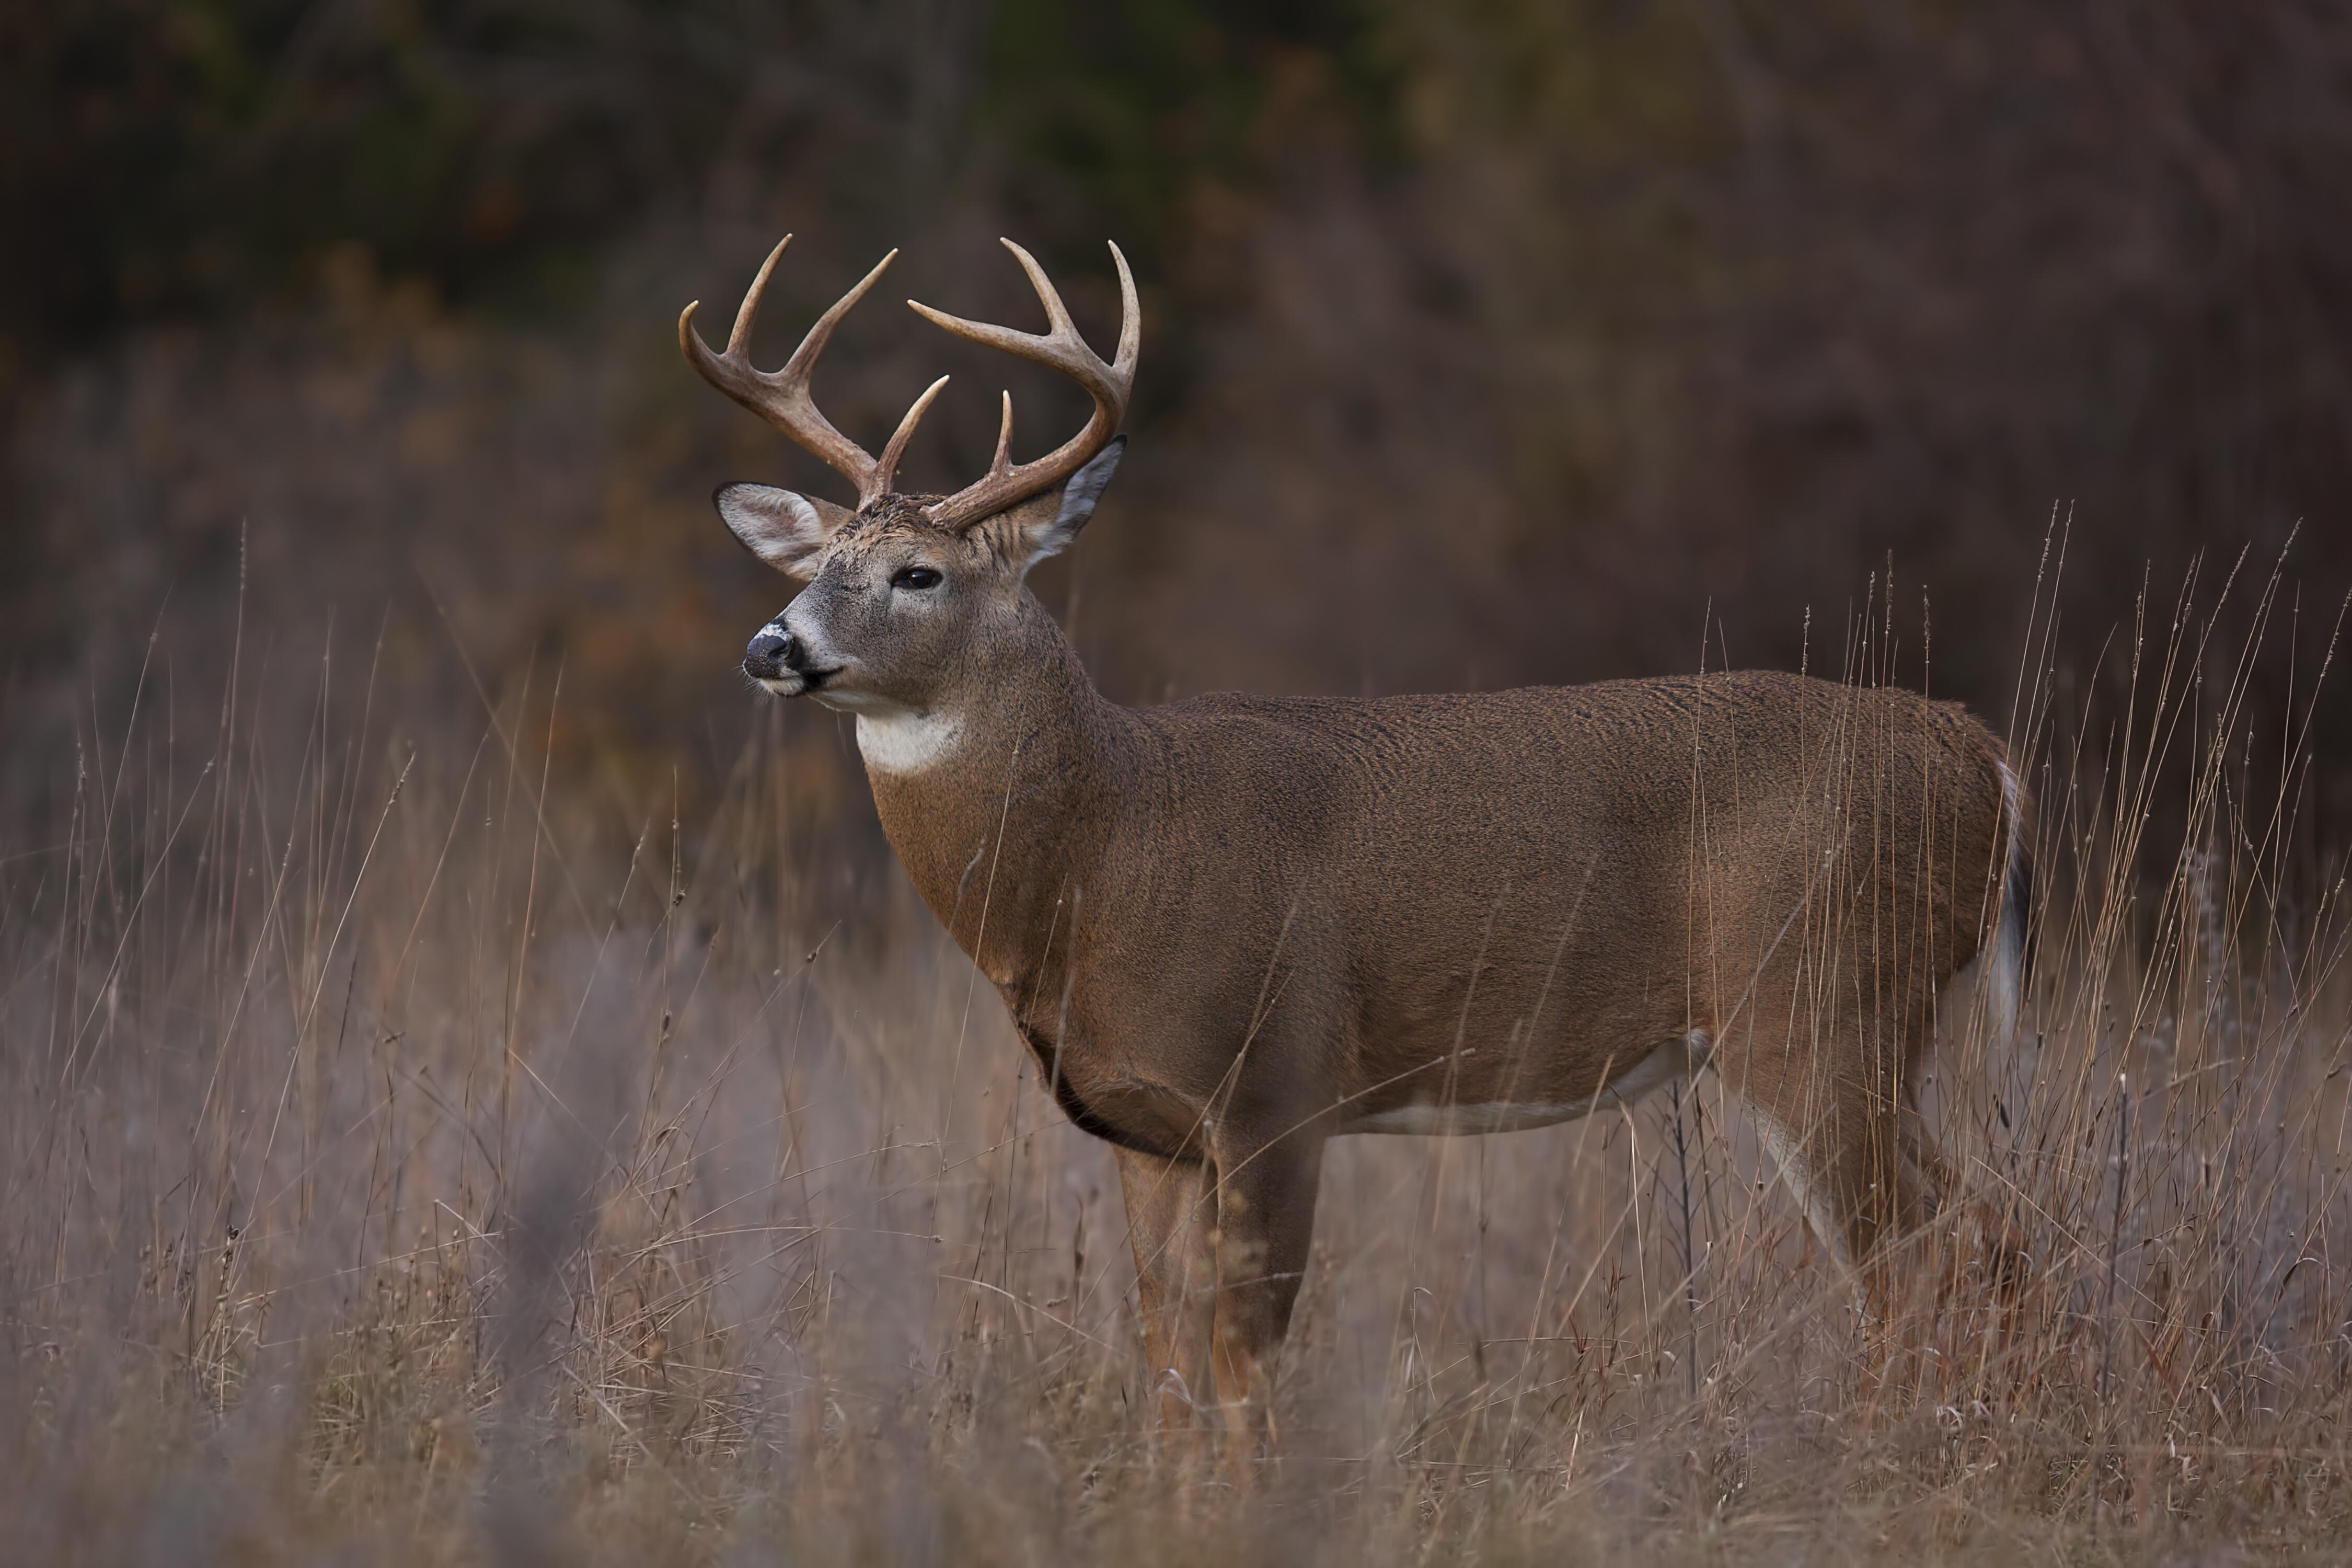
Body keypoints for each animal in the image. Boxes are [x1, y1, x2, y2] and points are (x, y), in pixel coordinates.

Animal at [677, 233, 2023, 1438]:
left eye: (918, 573)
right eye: (814, 562)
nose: (771, 645)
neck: (1107, 845)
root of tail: (1985, 758)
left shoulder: (1276, 1081)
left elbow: (1245, 1361)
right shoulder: (1141, 1128)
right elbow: (1169, 1365)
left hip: (1822, 1002)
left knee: (1929, 1246)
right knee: (1983, 1232)